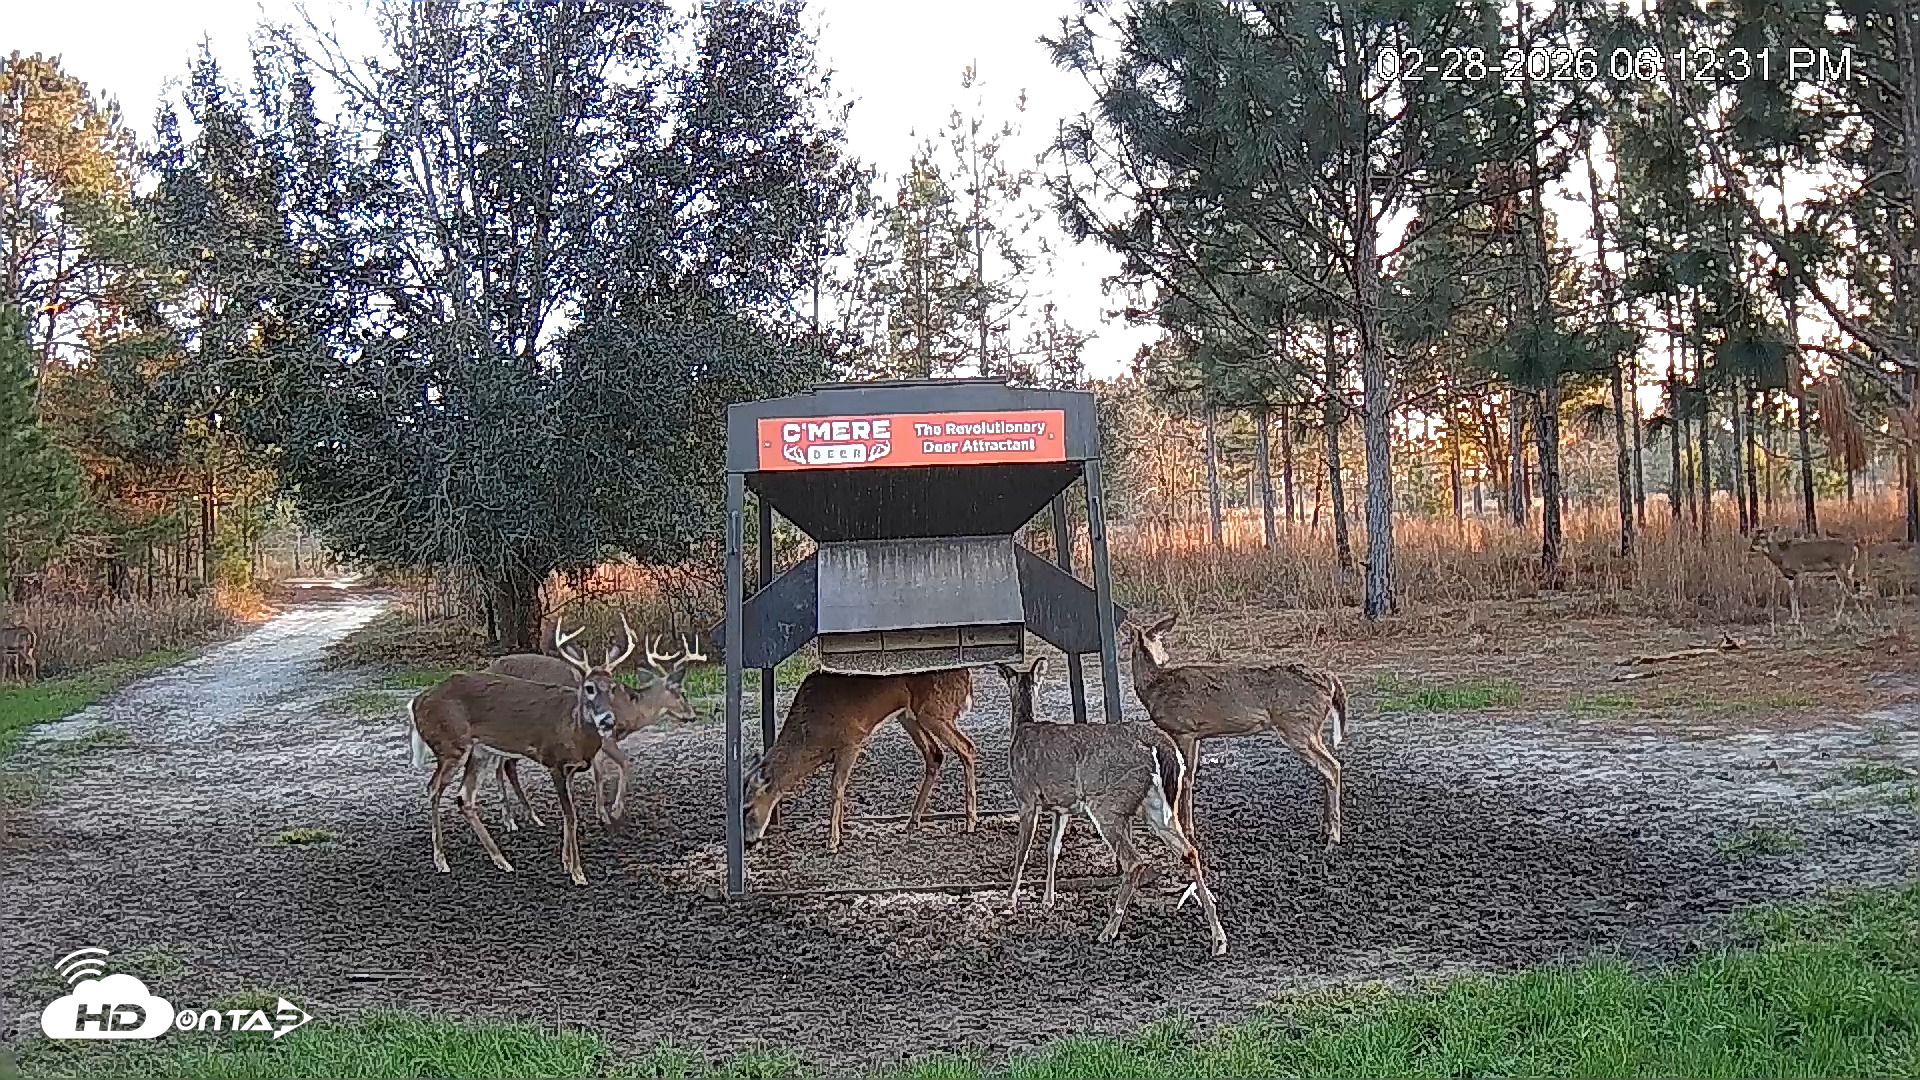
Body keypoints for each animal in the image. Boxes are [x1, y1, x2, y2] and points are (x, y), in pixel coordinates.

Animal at [407, 620, 632, 885]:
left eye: (613, 687)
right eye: (589, 688)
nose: (607, 720)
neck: (573, 728)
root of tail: (416, 703)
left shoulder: (570, 769)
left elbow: (568, 813)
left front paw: (566, 862)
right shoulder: (555, 762)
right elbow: (571, 816)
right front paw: (577, 873)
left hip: (479, 751)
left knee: (465, 797)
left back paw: (502, 861)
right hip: (452, 745)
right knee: (433, 788)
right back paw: (441, 860)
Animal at [485, 623, 704, 828]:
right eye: (682, 692)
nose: (692, 715)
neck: (628, 709)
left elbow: (597, 773)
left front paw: (597, 812)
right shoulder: (605, 737)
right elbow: (621, 765)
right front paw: (613, 811)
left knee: (507, 765)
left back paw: (532, 817)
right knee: (499, 766)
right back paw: (509, 819)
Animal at [741, 667, 977, 852]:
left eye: (746, 807)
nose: (748, 843)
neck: (812, 737)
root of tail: (966, 677)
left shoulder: (851, 740)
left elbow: (836, 787)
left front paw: (833, 841)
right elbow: (841, 787)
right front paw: (840, 832)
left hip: (934, 709)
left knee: (967, 747)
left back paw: (970, 822)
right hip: (909, 715)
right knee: (935, 754)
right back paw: (912, 821)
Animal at [999, 656, 1227, 957]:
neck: (1022, 728)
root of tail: (1162, 746)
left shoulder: (1026, 798)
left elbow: (1021, 852)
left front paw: (1010, 901)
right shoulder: (1062, 807)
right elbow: (1053, 849)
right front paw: (1048, 900)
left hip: (1107, 805)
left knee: (1135, 861)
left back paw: (1109, 930)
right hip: (1157, 807)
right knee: (1189, 851)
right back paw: (1218, 938)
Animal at [1131, 614, 1349, 849]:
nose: (1166, 658)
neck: (1154, 688)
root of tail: (1331, 680)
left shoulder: (1183, 730)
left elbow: (1185, 779)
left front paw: (1188, 833)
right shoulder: (1196, 735)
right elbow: (1190, 776)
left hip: (1298, 725)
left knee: (1332, 767)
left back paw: (1333, 837)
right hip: (1310, 729)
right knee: (1330, 768)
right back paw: (1325, 830)